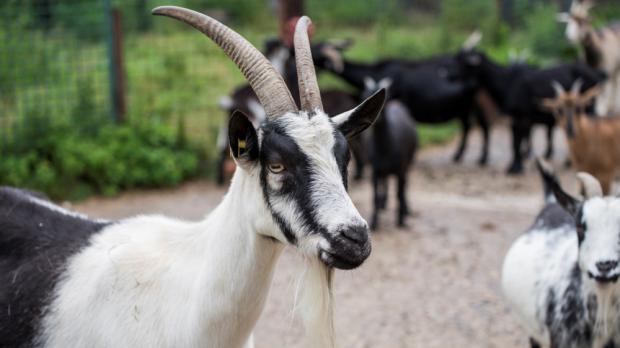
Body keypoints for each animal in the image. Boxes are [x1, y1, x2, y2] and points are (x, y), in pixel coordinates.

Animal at [360, 78, 418, 231]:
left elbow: (399, 193)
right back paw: (383, 203)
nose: (377, 119)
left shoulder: (400, 169)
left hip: (408, 161)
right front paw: (374, 221)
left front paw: (401, 220)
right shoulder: (374, 170)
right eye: (364, 96)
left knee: (405, 185)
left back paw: (406, 208)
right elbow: (374, 196)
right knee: (385, 182)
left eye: (387, 98)